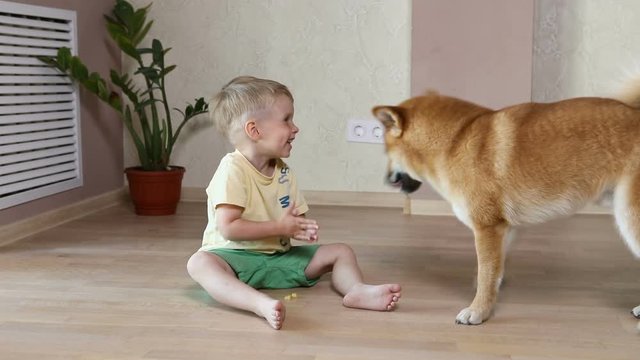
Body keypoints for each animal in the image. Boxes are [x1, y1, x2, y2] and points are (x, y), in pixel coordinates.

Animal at [372, 86, 640, 324]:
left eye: (386, 151)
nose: (385, 179)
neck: (455, 140)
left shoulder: (487, 227)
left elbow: (486, 273)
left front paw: (478, 311)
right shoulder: (504, 228)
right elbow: (492, 272)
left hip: (629, 217)